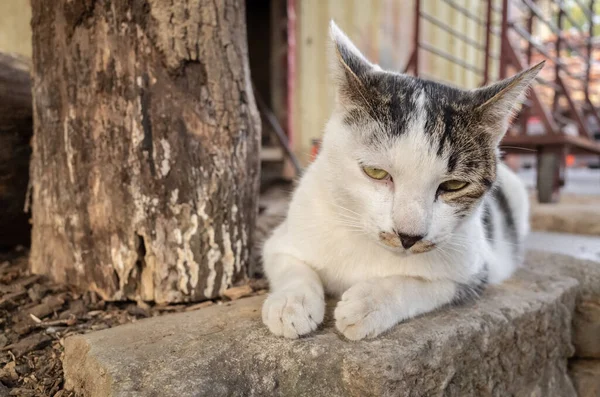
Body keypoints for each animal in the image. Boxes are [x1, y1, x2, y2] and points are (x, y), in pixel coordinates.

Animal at [260, 20, 540, 338]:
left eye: (454, 185)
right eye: (376, 172)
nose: (408, 236)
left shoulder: (475, 271)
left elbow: (422, 284)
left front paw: (370, 302)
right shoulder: (282, 238)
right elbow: (291, 264)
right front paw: (291, 302)